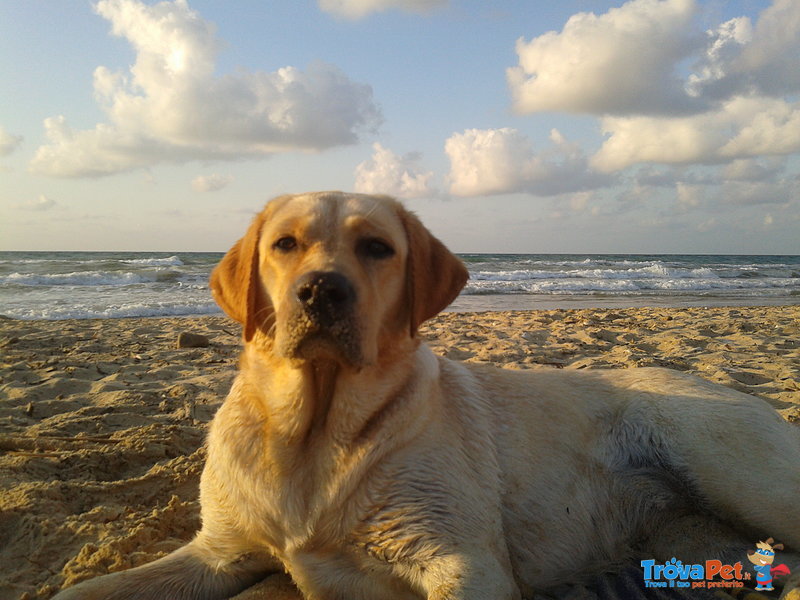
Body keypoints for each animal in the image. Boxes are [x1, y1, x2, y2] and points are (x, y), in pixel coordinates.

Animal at [54, 192, 800, 600]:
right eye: (285, 244)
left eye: (378, 248)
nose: (322, 291)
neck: (313, 436)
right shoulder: (219, 551)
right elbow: (92, 589)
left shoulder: (463, 563)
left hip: (738, 469)